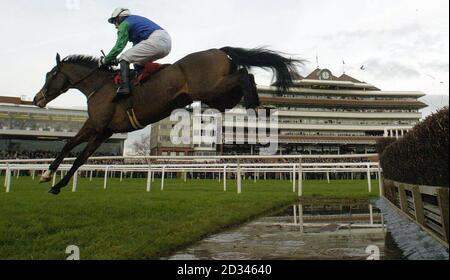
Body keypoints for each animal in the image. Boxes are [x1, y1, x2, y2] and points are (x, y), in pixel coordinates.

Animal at [32, 46, 302, 195]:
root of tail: (219, 50)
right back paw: (259, 106)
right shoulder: (102, 130)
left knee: (245, 74)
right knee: (247, 76)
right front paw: (52, 180)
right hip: (218, 97)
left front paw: (51, 178)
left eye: (50, 74)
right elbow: (75, 153)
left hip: (211, 88)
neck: (99, 86)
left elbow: (74, 151)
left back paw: (255, 108)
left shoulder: (97, 126)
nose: (37, 98)